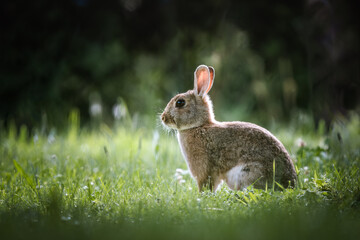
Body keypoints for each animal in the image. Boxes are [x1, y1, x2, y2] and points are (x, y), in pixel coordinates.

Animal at [160, 64, 296, 192]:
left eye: (180, 102)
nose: (163, 118)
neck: (199, 126)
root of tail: (290, 183)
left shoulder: (204, 170)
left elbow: (206, 185)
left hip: (246, 172)